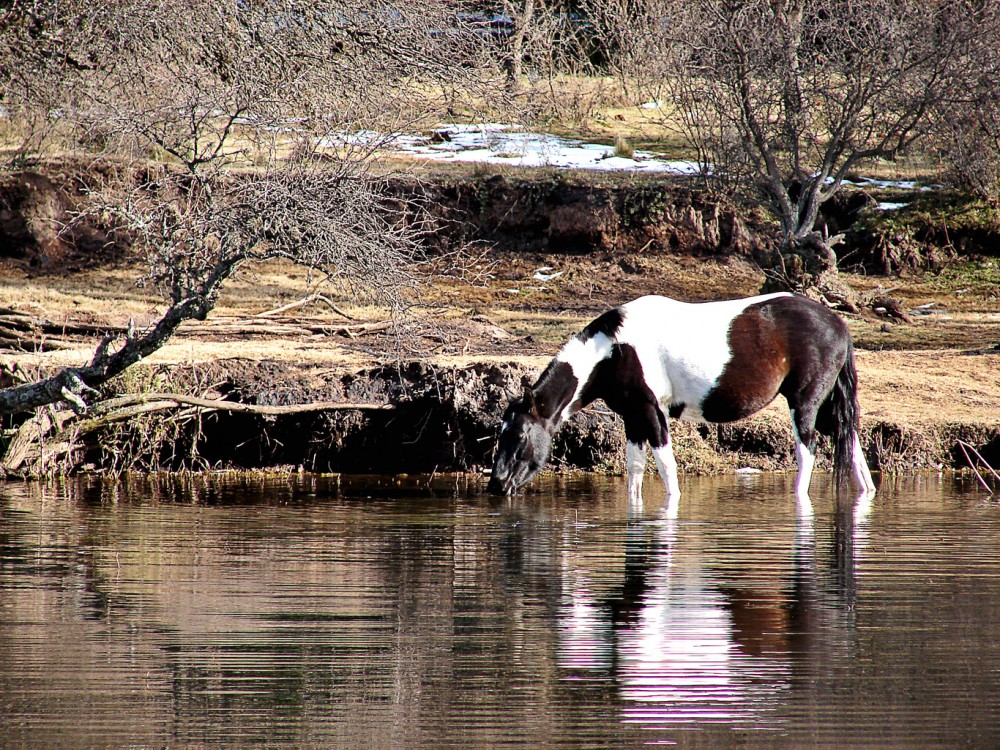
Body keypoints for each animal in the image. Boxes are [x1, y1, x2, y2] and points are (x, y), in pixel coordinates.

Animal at [488, 292, 880, 516]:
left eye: (519, 436)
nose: (496, 486)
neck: (614, 350)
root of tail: (838, 323)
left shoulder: (652, 413)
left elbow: (667, 470)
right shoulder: (632, 417)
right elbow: (634, 471)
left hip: (805, 403)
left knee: (808, 449)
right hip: (828, 404)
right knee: (850, 439)